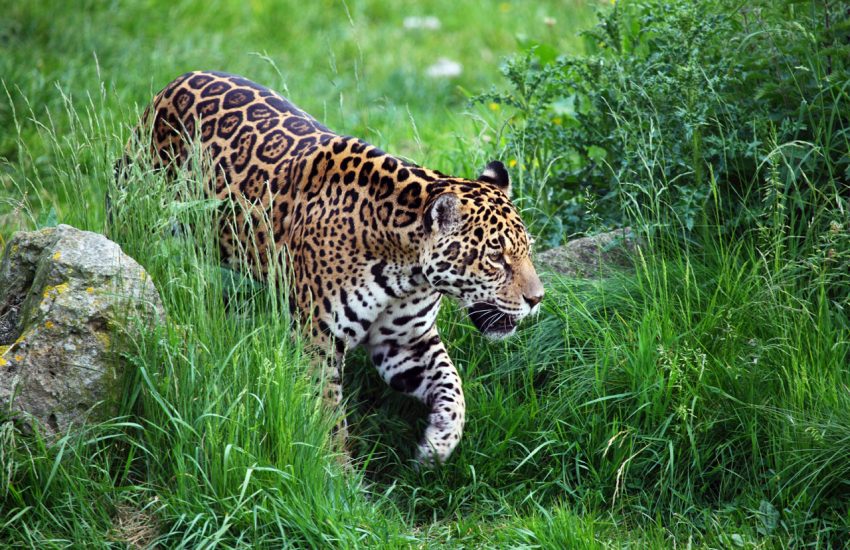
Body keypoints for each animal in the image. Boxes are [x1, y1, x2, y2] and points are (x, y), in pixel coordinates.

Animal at [121, 70, 544, 464]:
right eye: (496, 257)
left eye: (527, 251)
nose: (538, 299)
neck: (407, 270)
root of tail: (178, 80)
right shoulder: (318, 340)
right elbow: (328, 414)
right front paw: (339, 473)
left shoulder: (406, 343)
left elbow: (453, 386)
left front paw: (438, 443)